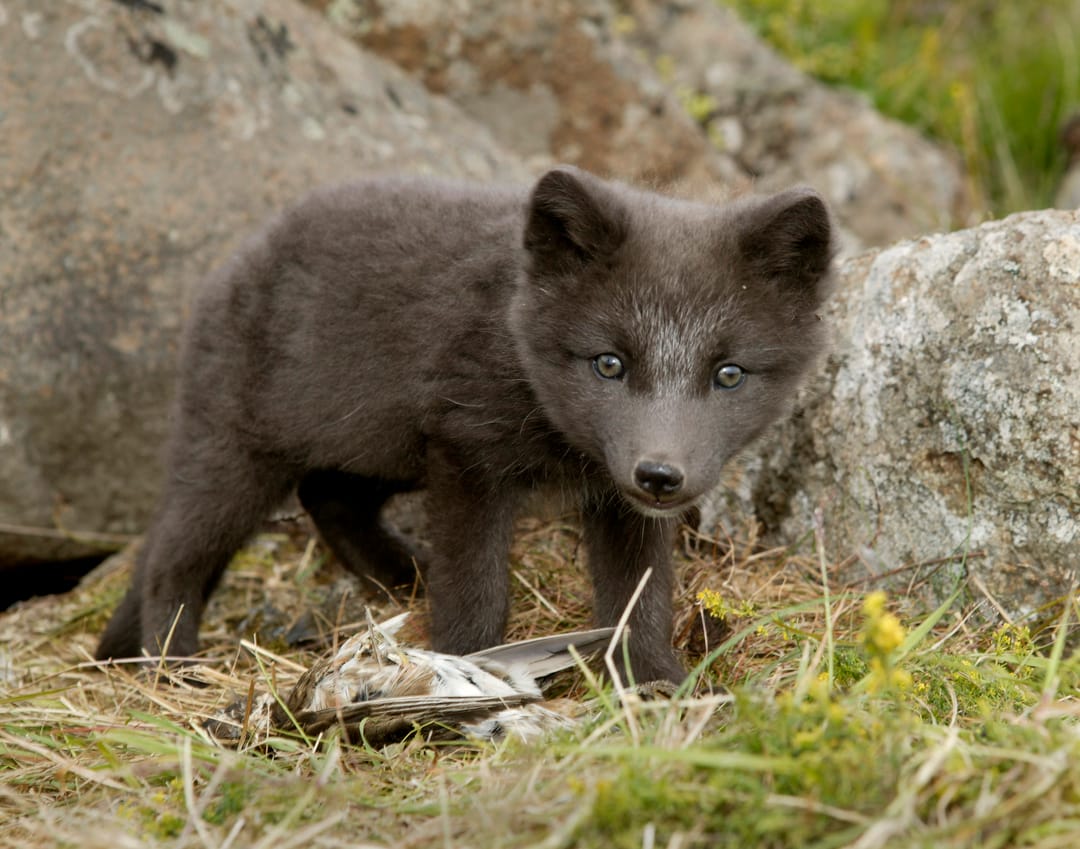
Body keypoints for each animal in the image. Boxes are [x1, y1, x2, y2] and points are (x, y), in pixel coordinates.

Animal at [95, 166, 833, 684]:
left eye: (729, 374)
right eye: (609, 363)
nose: (659, 474)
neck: (515, 344)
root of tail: (231, 266)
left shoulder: (613, 496)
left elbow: (639, 595)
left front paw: (651, 684)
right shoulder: (466, 453)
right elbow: (476, 588)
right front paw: (471, 674)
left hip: (376, 445)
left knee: (328, 496)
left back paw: (404, 578)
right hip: (240, 455)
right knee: (171, 556)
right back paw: (170, 664)